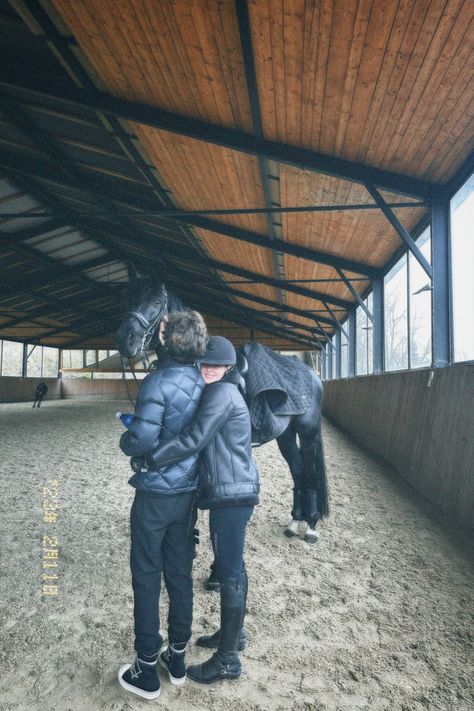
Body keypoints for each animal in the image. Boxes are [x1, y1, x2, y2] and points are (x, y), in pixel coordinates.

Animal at [116, 268, 328, 544]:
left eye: (156, 301)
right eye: (128, 298)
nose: (126, 340)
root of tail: (312, 374)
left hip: (308, 432)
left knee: (310, 475)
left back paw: (310, 526)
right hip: (286, 435)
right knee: (298, 471)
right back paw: (295, 522)